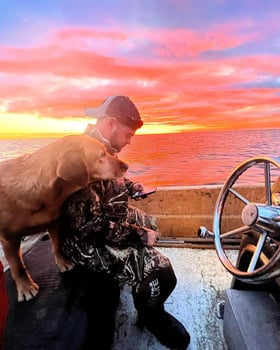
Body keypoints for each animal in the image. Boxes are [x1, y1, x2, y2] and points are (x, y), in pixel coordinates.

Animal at [0, 134, 128, 300]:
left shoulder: (54, 222)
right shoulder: (8, 238)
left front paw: (63, 262)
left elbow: (57, 246)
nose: (126, 166)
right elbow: (17, 266)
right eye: (102, 154)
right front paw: (26, 287)